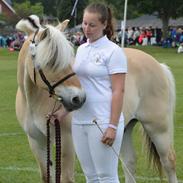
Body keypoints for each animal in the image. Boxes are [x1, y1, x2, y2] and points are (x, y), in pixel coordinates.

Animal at [15, 15, 177, 183]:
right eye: (51, 61)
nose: (78, 98)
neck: (33, 101)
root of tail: (158, 65)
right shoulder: (36, 142)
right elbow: (47, 176)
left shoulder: (66, 141)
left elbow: (66, 177)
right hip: (124, 129)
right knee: (129, 162)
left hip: (158, 128)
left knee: (168, 161)